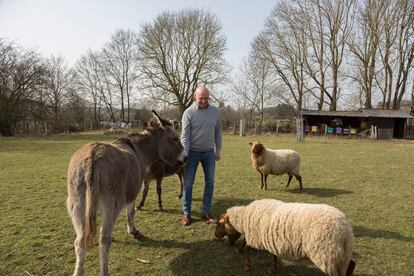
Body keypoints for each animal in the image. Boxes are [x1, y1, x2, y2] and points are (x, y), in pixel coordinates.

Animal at [215, 199, 354, 274]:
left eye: (220, 223)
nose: (216, 235)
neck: (244, 218)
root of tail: (345, 230)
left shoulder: (255, 236)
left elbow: (247, 247)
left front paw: (247, 266)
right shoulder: (270, 239)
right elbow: (273, 256)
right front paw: (273, 270)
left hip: (328, 255)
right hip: (341, 255)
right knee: (351, 264)